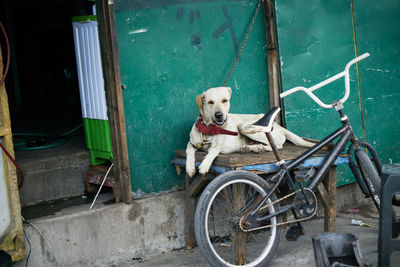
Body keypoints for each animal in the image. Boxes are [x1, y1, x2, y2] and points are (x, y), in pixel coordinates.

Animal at [185, 86, 316, 178]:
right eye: (210, 102)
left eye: (225, 100)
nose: (219, 115)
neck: (209, 129)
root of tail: (278, 125)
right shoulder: (192, 143)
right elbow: (189, 150)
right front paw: (190, 168)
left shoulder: (218, 146)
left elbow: (213, 151)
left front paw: (205, 164)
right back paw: (249, 147)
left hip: (246, 126)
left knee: (278, 145)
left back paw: (259, 146)